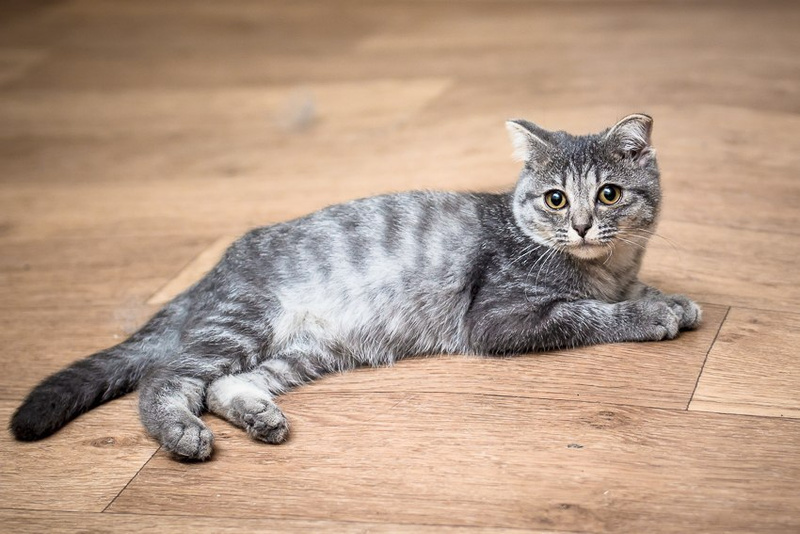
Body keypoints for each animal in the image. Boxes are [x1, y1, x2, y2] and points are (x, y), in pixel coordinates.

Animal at [10, 113, 701, 461]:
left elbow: (628, 292)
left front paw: (670, 298)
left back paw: (258, 416)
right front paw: (651, 314)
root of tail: (214, 270)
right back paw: (182, 434)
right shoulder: (501, 317)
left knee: (225, 385)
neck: (602, 265)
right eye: (556, 199)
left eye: (607, 193)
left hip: (309, 349)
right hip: (239, 321)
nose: (581, 224)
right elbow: (588, 313)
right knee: (168, 380)